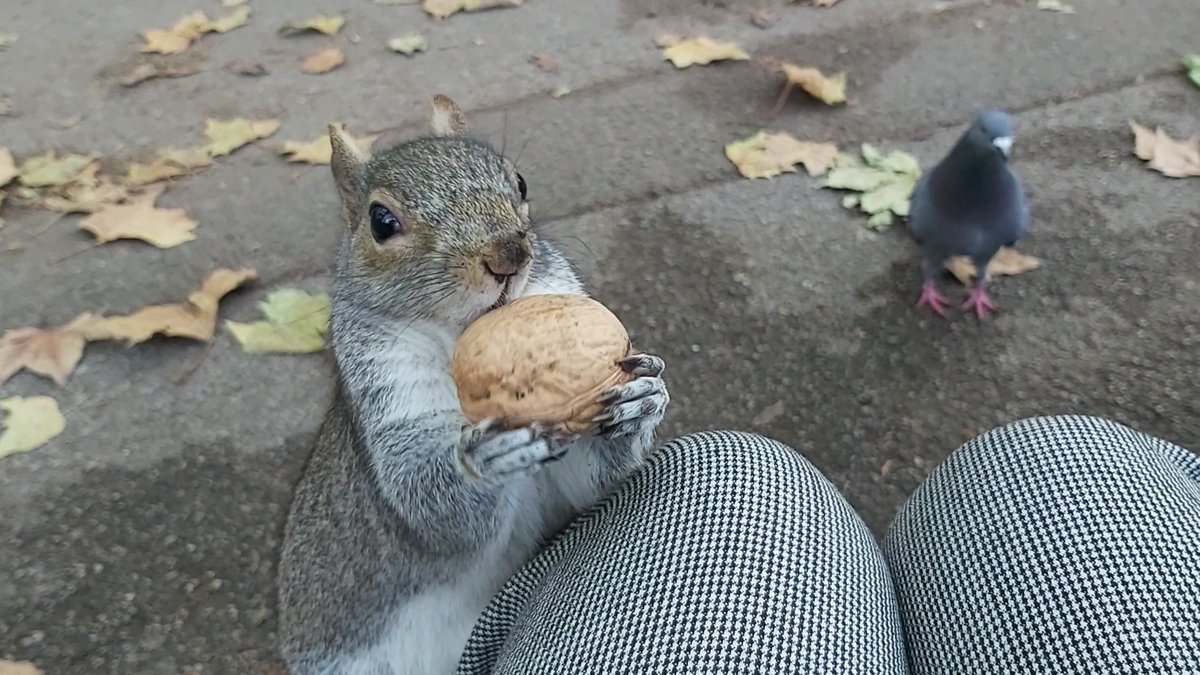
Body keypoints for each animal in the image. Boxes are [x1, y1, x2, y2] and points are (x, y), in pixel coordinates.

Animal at [276, 94, 671, 675]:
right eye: (381, 221)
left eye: (521, 182)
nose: (508, 255)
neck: (460, 339)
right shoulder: (389, 392)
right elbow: (431, 511)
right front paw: (486, 457)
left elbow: (588, 485)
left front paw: (641, 402)